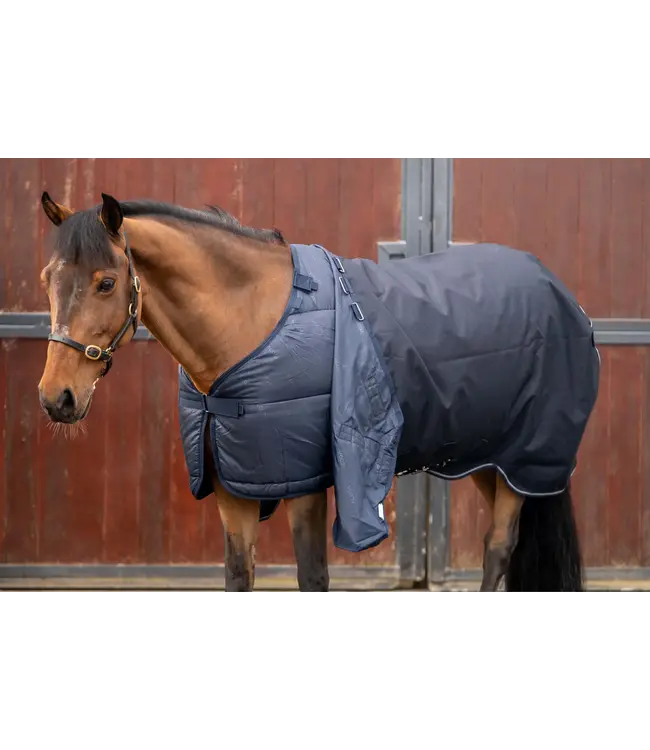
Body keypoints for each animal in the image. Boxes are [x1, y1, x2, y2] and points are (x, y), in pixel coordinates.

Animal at [37, 191, 600, 592]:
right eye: (47, 279)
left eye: (107, 283)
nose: (56, 398)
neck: (252, 323)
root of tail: (555, 289)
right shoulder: (234, 486)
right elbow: (239, 574)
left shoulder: (303, 484)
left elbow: (312, 575)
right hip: (489, 457)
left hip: (525, 459)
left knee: (500, 546)